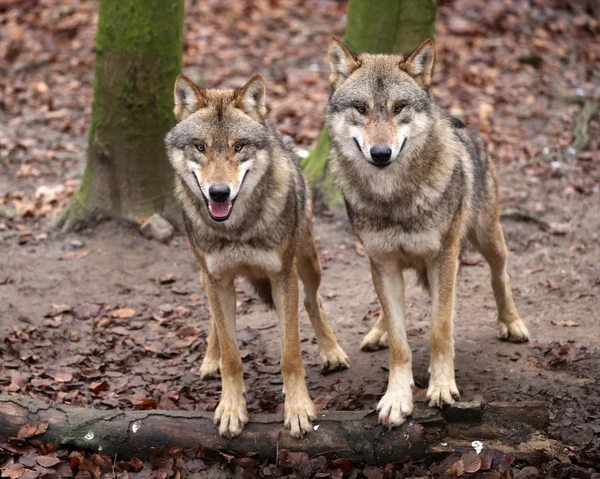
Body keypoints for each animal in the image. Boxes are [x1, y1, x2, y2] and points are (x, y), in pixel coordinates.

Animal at [324, 36, 528, 428]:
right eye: (361, 108)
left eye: (399, 107)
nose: (381, 153)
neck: (394, 199)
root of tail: (459, 119)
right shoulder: (382, 262)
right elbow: (400, 342)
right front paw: (396, 398)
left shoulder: (444, 258)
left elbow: (439, 329)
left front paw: (442, 387)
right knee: (388, 312)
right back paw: (378, 331)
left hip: (488, 239)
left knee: (501, 276)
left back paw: (511, 324)